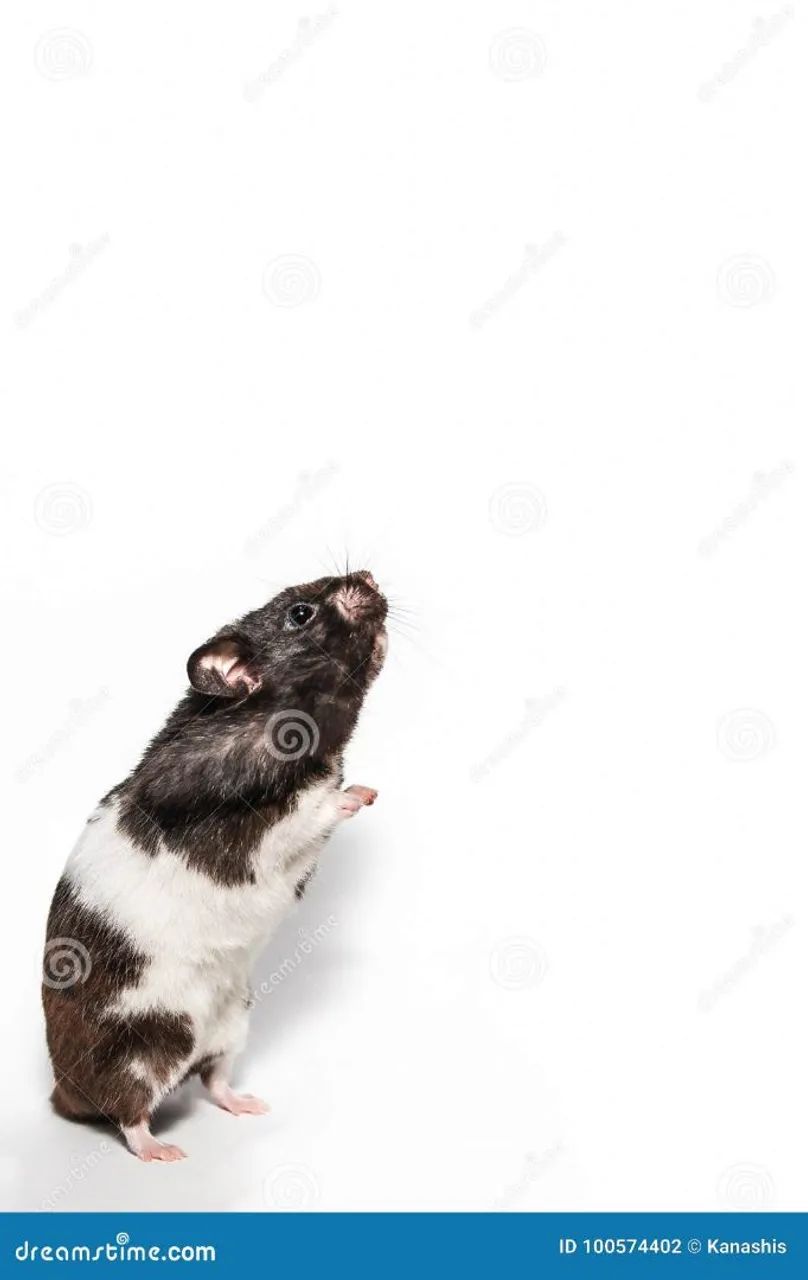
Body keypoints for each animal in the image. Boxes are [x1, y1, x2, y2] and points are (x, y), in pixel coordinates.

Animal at [42, 570, 387, 1162]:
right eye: (300, 614)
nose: (368, 578)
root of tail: (64, 1090)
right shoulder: (239, 816)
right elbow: (307, 814)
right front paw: (359, 795)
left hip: (233, 1022)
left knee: (213, 1078)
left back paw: (247, 1104)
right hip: (145, 1050)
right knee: (128, 1113)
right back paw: (161, 1150)